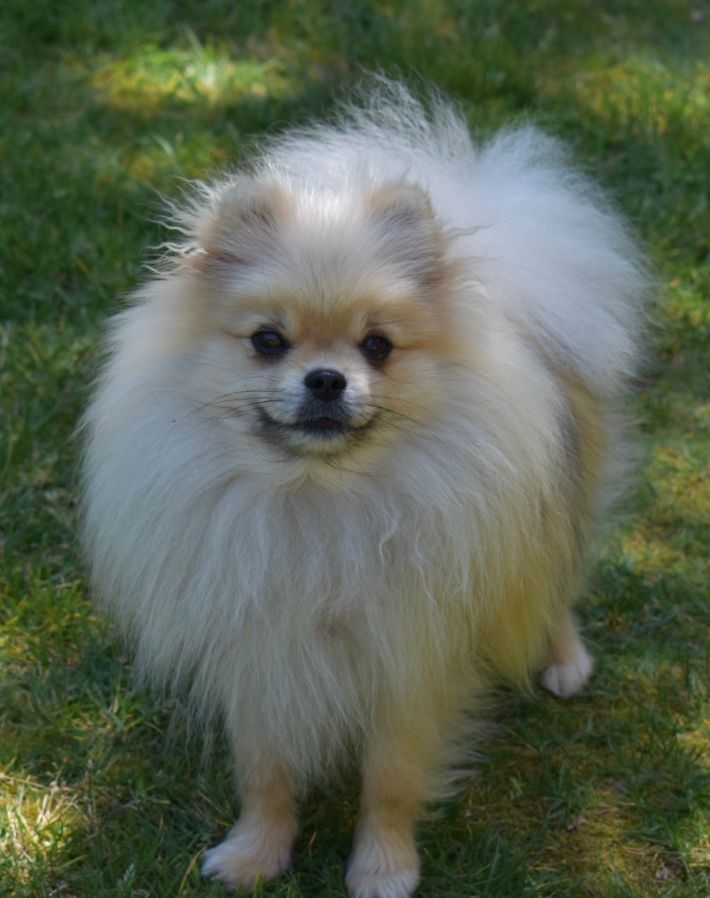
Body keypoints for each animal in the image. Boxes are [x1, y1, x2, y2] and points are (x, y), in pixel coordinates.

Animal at [82, 84, 652, 896]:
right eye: (268, 341)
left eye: (377, 345)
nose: (326, 378)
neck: (317, 500)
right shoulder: (259, 649)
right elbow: (265, 770)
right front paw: (256, 852)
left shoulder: (410, 659)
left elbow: (391, 777)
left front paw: (384, 866)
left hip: (555, 507)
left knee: (556, 580)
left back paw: (563, 658)